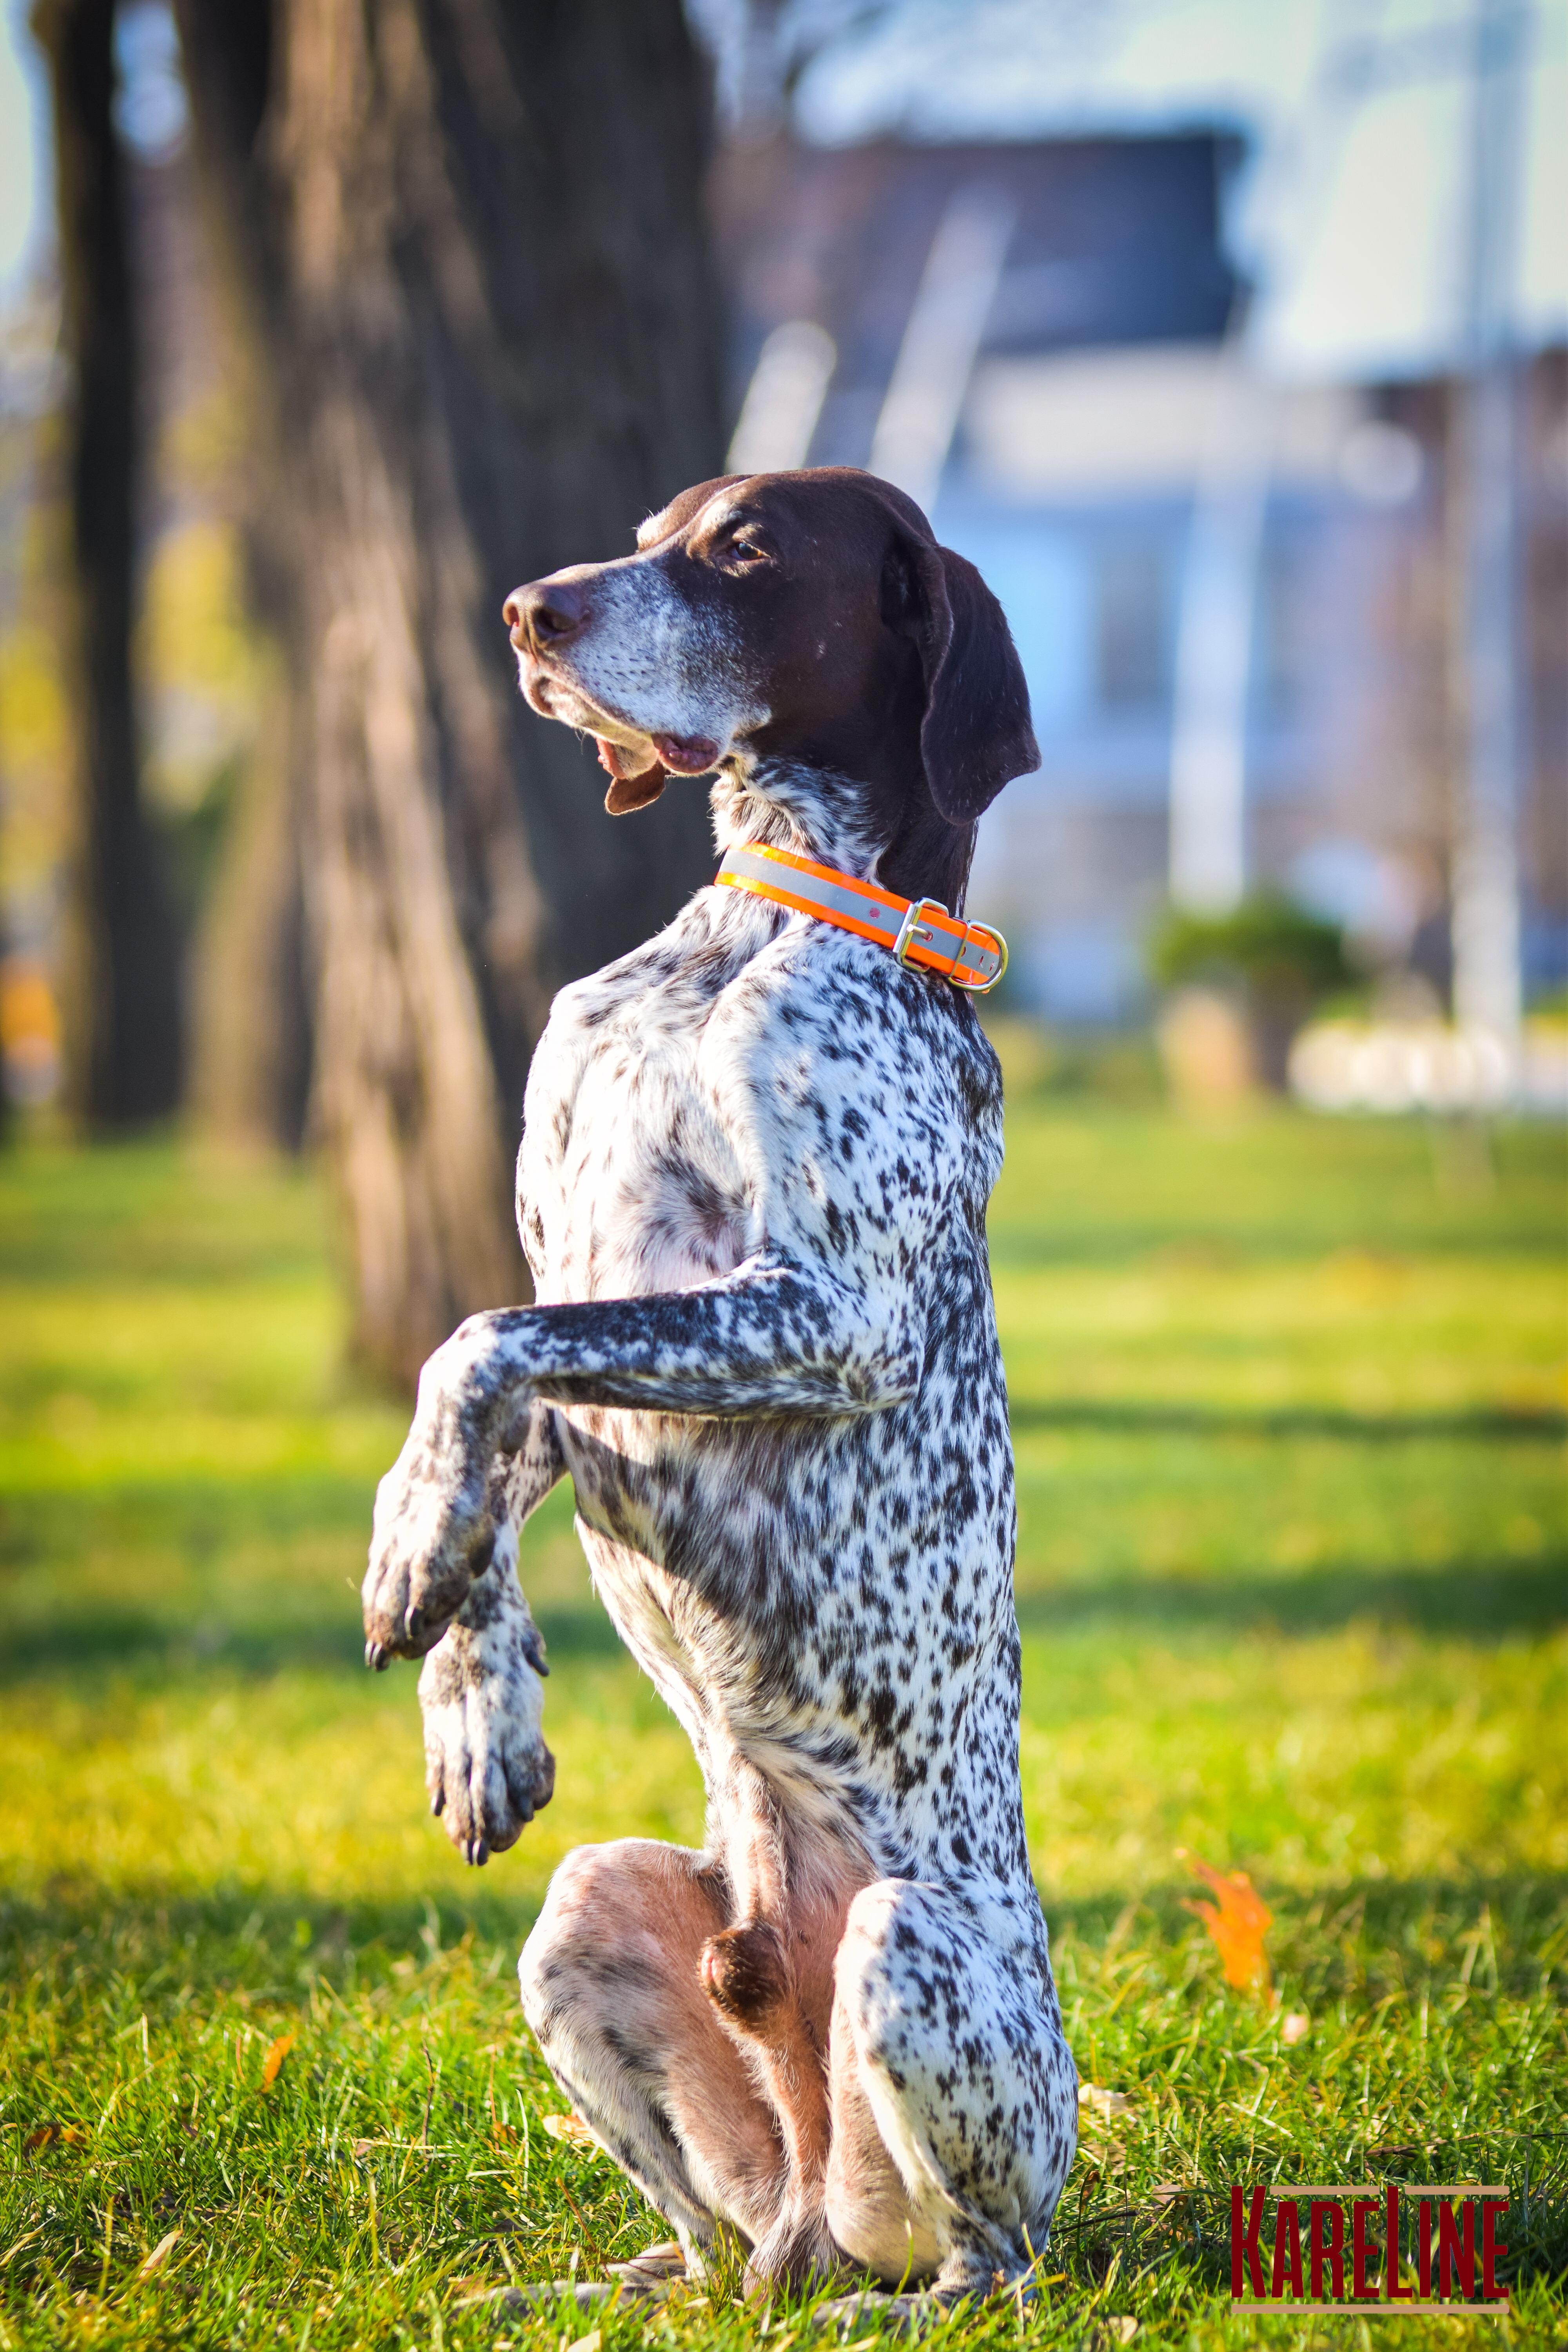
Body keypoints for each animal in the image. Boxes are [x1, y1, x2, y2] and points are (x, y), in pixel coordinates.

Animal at [364, 463, 1086, 2296]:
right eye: (647, 530)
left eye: (745, 549)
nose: (524, 611)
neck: (751, 929)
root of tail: (813, 2220)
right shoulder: (593, 1315)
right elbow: (475, 1434)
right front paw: (468, 1684)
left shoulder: (820, 1313)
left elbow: (473, 1342)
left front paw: (415, 1552)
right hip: (589, 1912)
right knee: (713, 2248)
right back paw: (582, 2292)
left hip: (917, 1965)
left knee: (986, 2262)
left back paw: (901, 2307)